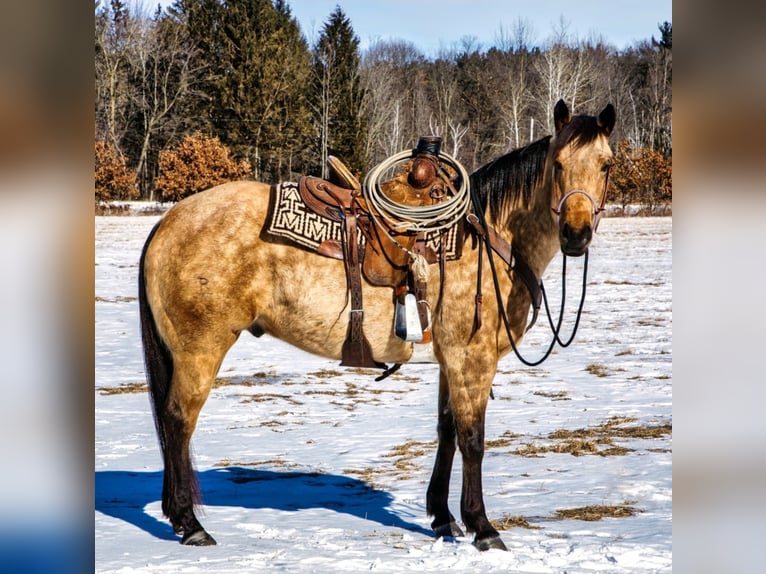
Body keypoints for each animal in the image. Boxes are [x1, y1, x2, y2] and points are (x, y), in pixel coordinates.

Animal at [140, 101, 616, 552]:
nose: (576, 234)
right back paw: (190, 524)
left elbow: (446, 431)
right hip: (200, 349)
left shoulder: (450, 361)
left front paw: (442, 518)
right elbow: (473, 439)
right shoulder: (472, 359)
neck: (489, 236)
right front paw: (482, 527)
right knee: (178, 420)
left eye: (606, 165)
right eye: (558, 164)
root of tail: (169, 220)